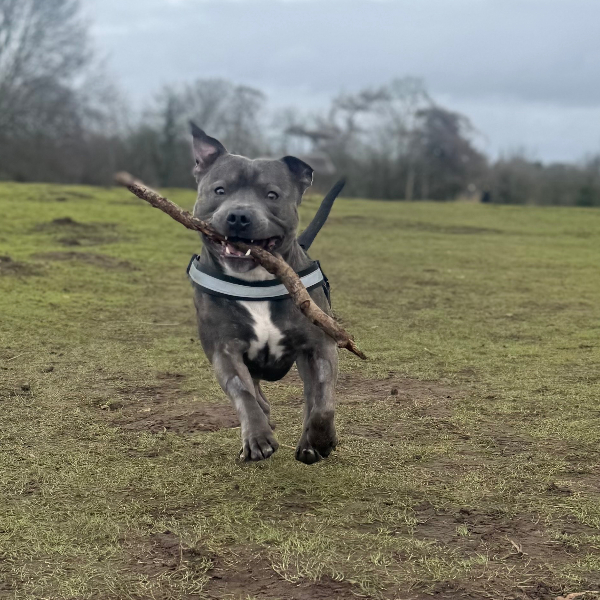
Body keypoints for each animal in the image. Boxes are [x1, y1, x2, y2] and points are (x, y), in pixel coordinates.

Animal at [188, 122, 342, 464]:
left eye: (272, 195)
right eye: (220, 190)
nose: (238, 216)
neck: (255, 281)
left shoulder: (320, 347)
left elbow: (323, 402)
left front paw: (320, 439)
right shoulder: (224, 350)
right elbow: (244, 393)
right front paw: (257, 437)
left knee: (310, 398)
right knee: (258, 395)